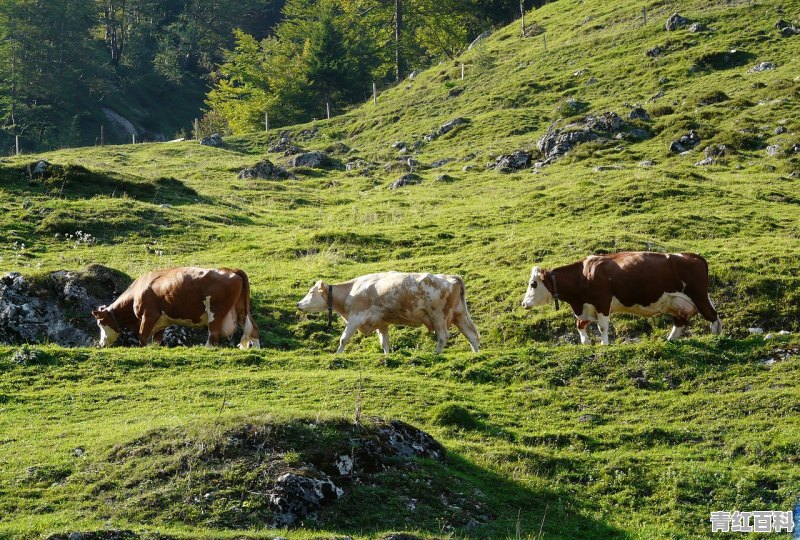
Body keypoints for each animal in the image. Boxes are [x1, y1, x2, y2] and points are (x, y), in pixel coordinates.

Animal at [92, 266, 260, 350]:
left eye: (100, 324)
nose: (100, 344)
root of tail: (231, 270)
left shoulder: (149, 315)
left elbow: (142, 337)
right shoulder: (161, 322)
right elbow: (156, 340)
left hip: (216, 312)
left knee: (213, 336)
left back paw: (205, 348)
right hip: (240, 309)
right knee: (253, 328)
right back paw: (256, 349)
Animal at [296, 270, 478, 354]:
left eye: (311, 292)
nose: (298, 304)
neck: (352, 290)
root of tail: (451, 277)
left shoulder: (355, 318)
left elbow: (343, 339)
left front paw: (338, 355)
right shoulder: (381, 323)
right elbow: (384, 343)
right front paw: (387, 356)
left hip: (438, 315)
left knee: (443, 336)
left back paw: (436, 354)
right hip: (459, 315)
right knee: (472, 335)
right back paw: (476, 355)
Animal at [520, 252, 720, 344]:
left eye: (533, 284)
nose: (523, 303)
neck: (584, 274)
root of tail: (692, 256)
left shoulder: (602, 301)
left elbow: (602, 326)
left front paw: (604, 344)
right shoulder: (586, 307)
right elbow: (580, 325)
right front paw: (586, 342)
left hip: (699, 296)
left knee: (714, 317)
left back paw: (718, 338)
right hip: (676, 303)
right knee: (680, 322)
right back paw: (669, 340)